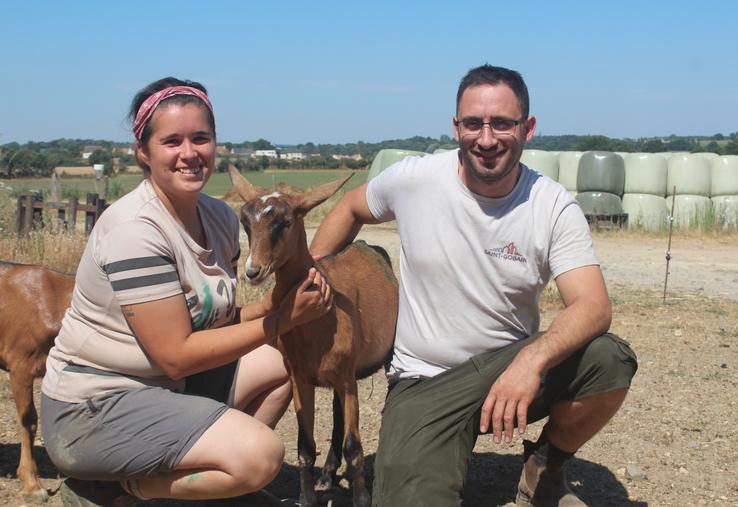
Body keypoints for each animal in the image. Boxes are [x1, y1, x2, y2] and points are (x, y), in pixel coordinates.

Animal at [228, 167, 398, 507]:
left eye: (285, 222)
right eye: (245, 220)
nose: (253, 271)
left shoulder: (347, 379)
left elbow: (354, 448)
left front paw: (362, 497)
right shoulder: (301, 378)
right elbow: (305, 448)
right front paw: (308, 497)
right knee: (335, 414)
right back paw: (328, 473)